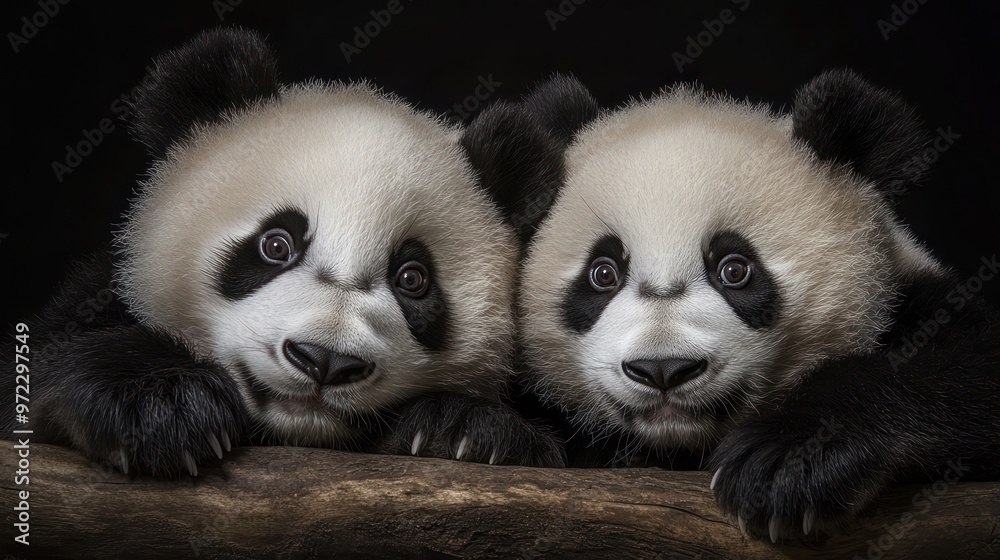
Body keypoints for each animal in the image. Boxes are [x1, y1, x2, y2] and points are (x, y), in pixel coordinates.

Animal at [491, 71, 1000, 540]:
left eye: (735, 269)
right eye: (602, 273)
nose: (664, 369)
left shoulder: (910, 299)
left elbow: (963, 372)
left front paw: (783, 463)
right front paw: (492, 436)